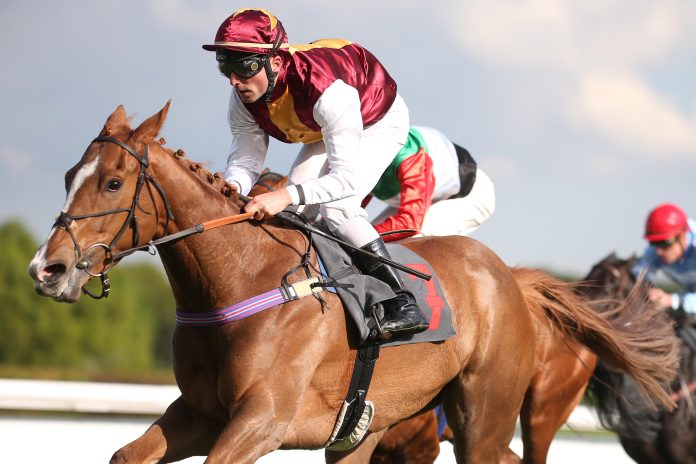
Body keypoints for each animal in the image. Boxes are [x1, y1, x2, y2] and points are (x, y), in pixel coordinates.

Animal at [27, 103, 678, 464]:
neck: (240, 279)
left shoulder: (263, 420)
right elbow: (123, 455)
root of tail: (511, 279)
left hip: (489, 414)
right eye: (69, 174)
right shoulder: (199, 414)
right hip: (372, 429)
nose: (46, 269)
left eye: (113, 183)